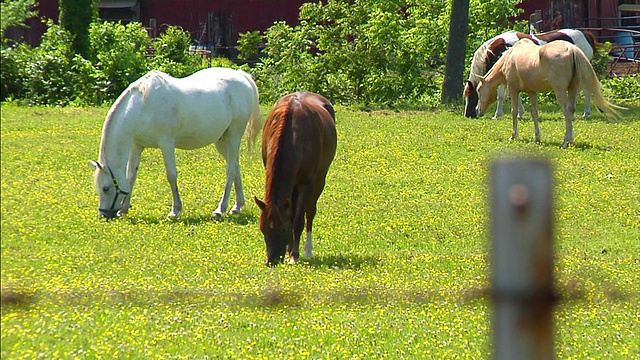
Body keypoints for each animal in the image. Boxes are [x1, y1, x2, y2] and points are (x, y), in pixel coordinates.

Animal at [89, 67, 262, 219]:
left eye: (106, 188)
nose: (104, 215)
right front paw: (123, 209)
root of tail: (242, 76)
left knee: (231, 170)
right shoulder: (137, 146)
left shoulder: (166, 143)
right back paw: (237, 206)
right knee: (236, 166)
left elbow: (171, 175)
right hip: (221, 141)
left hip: (234, 135)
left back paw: (220, 209)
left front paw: (175, 211)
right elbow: (131, 176)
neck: (144, 106)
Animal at [254, 91, 338, 266]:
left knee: (310, 212)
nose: (271, 260)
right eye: (262, 229)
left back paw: (307, 250)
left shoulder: (306, 183)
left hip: (319, 179)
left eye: (283, 229)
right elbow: (292, 215)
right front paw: (290, 251)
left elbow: (298, 220)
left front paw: (295, 255)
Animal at [462, 28, 596, 118]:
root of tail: (585, 34)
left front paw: (497, 115)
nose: (468, 114)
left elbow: (501, 96)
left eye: (473, 94)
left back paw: (586, 113)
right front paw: (520, 113)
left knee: (587, 90)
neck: (499, 49)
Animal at [478, 38, 624, 148]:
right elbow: (534, 113)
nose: (478, 111)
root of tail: (571, 49)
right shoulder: (532, 92)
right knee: (571, 110)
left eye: (479, 90)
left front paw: (513, 136)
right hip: (573, 89)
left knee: (566, 111)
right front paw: (537, 137)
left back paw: (565, 141)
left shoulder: (513, 89)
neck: (511, 56)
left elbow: (514, 111)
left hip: (560, 90)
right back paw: (569, 139)